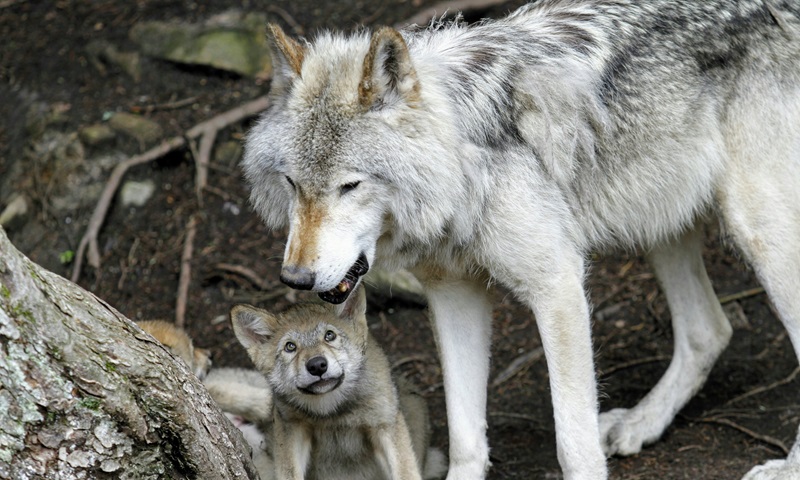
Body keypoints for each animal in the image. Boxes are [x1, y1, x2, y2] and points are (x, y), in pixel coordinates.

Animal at [241, 1, 800, 478]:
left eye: (350, 185)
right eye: (292, 184)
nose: (295, 277)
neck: (464, 162)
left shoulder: (558, 288)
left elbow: (573, 446)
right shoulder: (453, 294)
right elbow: (465, 438)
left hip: (757, 229)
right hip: (662, 221)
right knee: (710, 329)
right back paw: (641, 422)